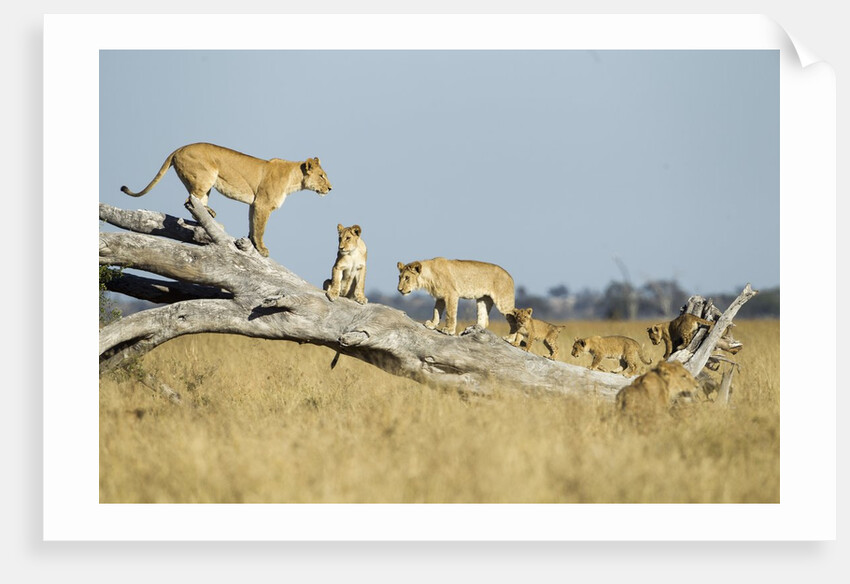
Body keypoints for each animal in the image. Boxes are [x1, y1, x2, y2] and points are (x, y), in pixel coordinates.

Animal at [121, 142, 332, 257]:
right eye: (322, 176)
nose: (330, 188)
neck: (294, 180)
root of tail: (179, 148)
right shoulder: (263, 204)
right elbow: (261, 228)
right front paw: (262, 249)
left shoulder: (254, 204)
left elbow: (252, 225)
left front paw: (251, 243)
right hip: (205, 176)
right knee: (190, 199)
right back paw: (210, 214)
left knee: (195, 202)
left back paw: (210, 214)